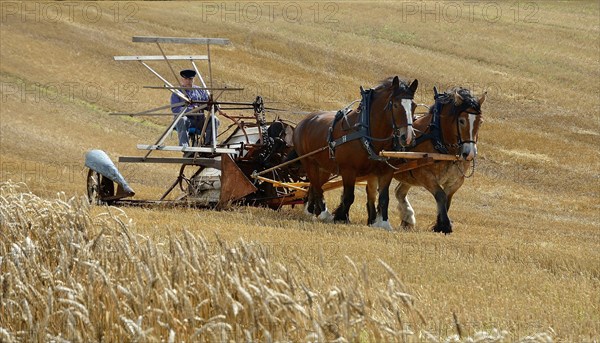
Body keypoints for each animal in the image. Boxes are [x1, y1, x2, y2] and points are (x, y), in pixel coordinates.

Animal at [294, 76, 418, 230]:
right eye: (395, 105)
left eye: (414, 106)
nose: (408, 137)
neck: (365, 133)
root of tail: (303, 122)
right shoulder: (349, 170)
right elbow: (348, 196)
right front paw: (341, 217)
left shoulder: (386, 171)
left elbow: (384, 198)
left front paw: (384, 223)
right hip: (308, 162)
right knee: (317, 186)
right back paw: (324, 213)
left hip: (323, 168)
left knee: (314, 185)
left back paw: (311, 210)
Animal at [366, 87, 488, 235]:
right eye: (462, 121)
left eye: (480, 122)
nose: (469, 153)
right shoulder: (425, 175)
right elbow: (441, 195)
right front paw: (444, 225)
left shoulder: (456, 181)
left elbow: (447, 200)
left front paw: (439, 224)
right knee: (372, 191)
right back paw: (374, 219)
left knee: (399, 192)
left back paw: (407, 217)